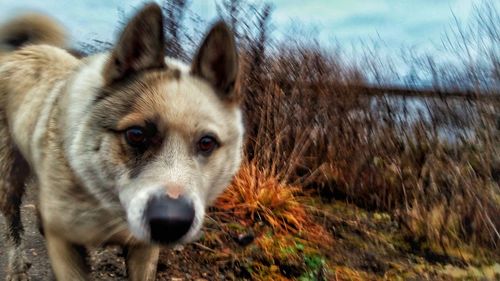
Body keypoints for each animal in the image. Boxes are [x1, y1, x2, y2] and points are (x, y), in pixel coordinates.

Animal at [0, 3, 242, 278]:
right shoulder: (65, 247)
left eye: (206, 143)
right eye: (136, 135)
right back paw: (17, 266)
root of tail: (26, 49)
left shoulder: (143, 251)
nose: (171, 223)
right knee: (13, 224)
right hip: (10, 179)